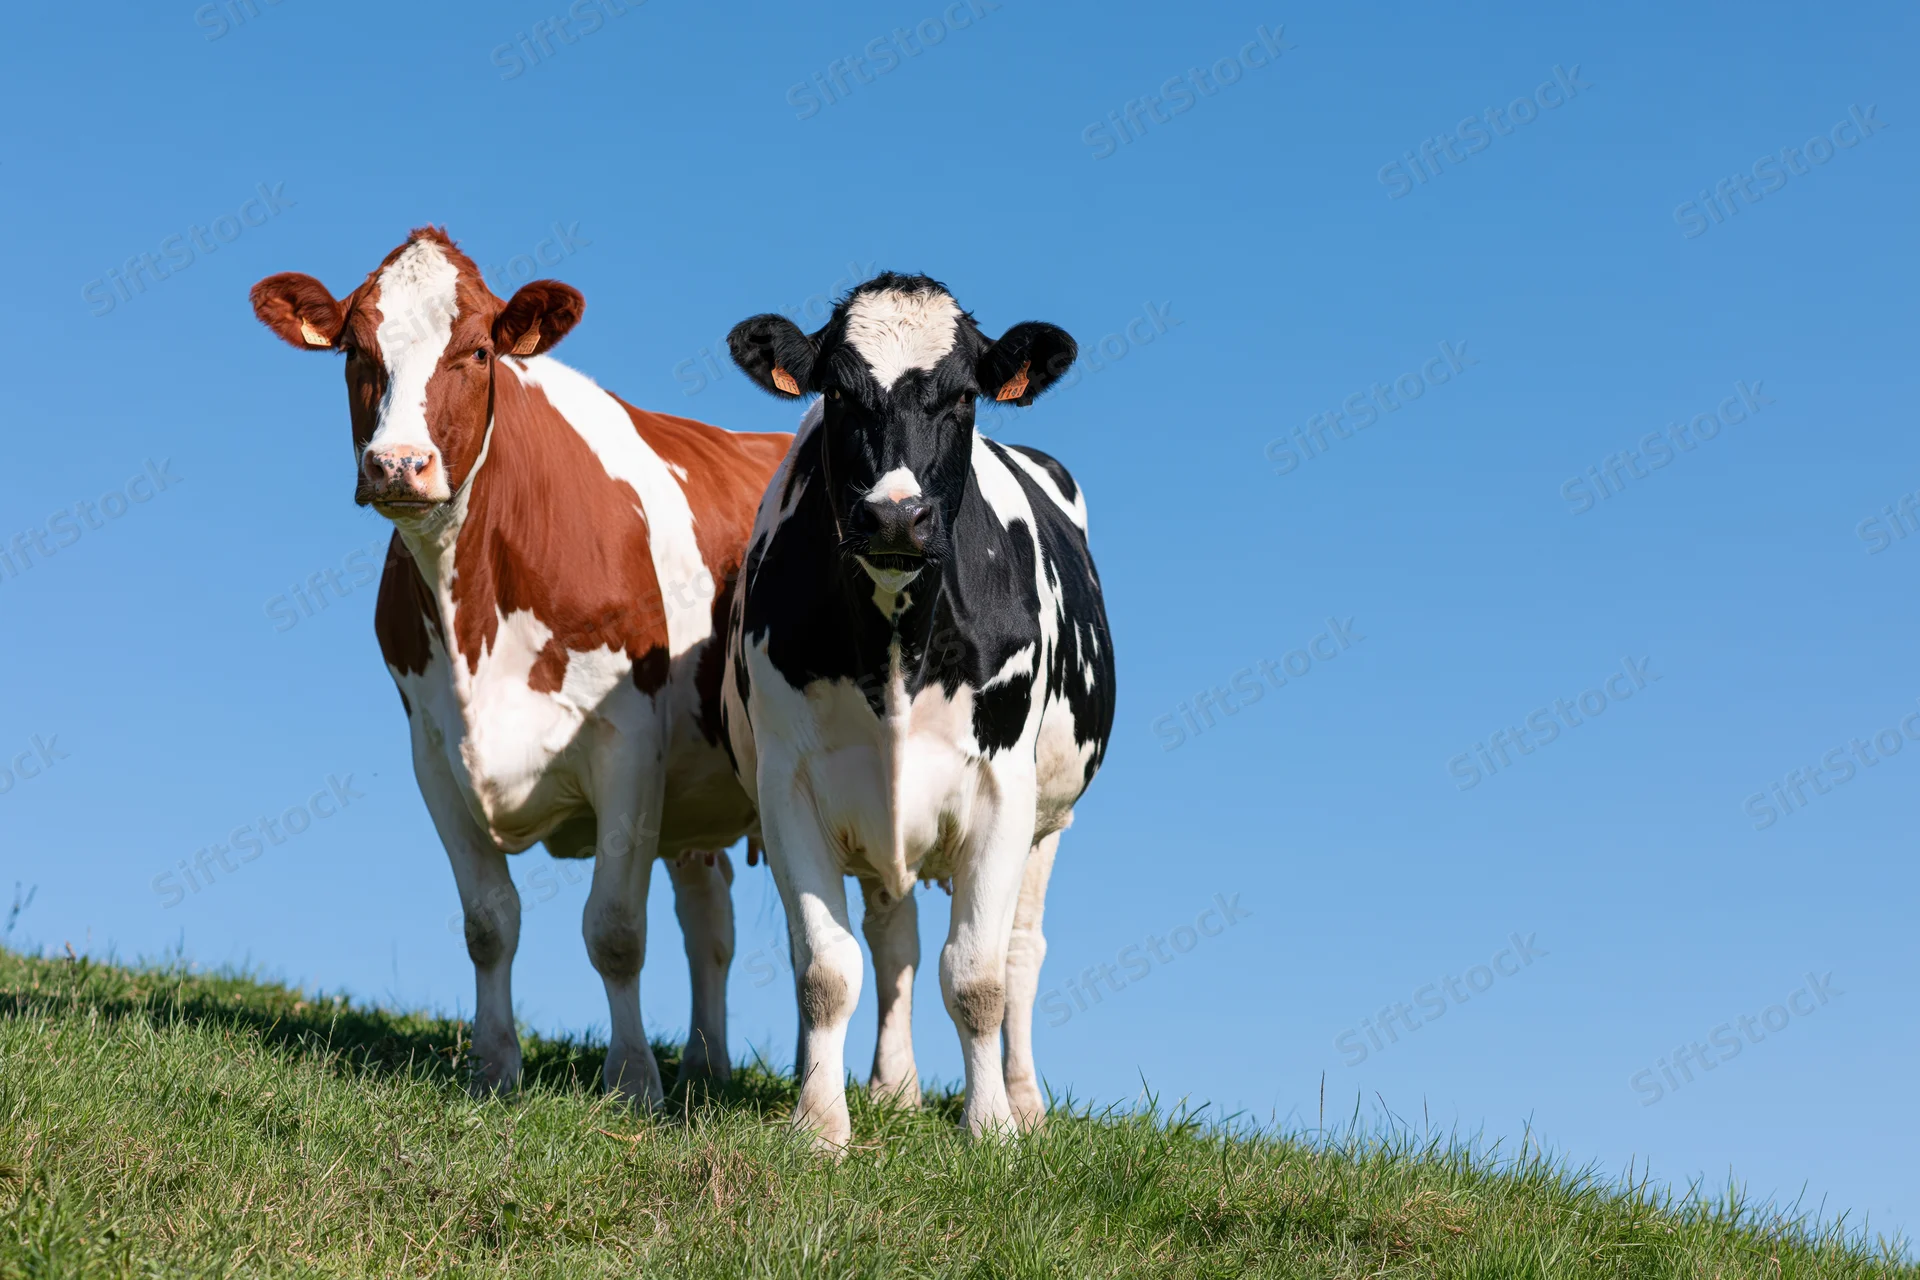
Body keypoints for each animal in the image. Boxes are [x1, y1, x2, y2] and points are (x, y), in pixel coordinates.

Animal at [249, 228, 788, 1105]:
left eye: (475, 351)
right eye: (355, 350)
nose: (398, 465)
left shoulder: (629, 744)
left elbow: (615, 929)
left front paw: (631, 1081)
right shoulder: (434, 752)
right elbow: (489, 923)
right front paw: (493, 1067)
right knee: (711, 918)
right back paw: (707, 1068)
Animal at [720, 273, 1115, 1147]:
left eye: (965, 394)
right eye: (838, 390)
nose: (896, 515)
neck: (895, 637)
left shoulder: (1004, 792)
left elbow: (978, 977)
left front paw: (992, 1129)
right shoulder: (789, 785)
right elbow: (827, 968)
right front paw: (820, 1126)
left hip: (1052, 820)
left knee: (1022, 953)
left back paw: (1026, 1102)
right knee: (891, 939)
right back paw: (893, 1088)